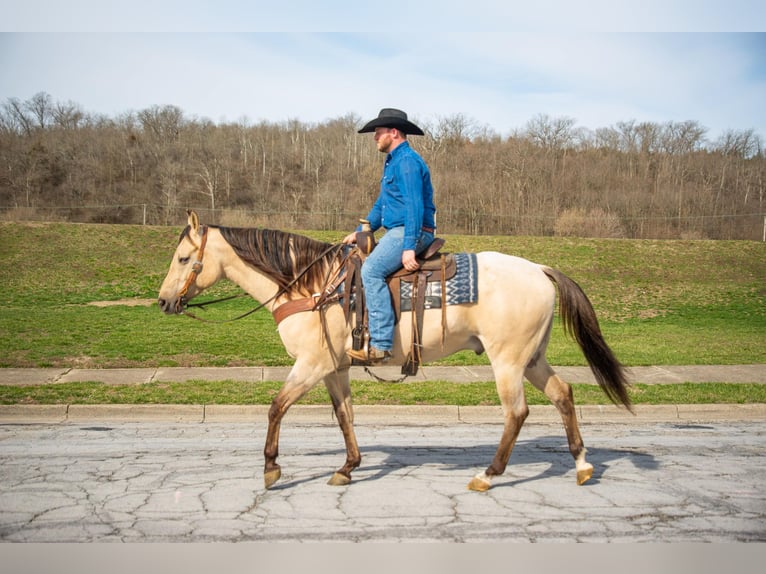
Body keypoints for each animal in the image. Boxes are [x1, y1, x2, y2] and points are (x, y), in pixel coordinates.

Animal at [159, 212, 632, 490]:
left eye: (183, 258)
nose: (164, 302)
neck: (312, 288)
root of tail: (539, 269)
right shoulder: (335, 368)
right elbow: (344, 416)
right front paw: (348, 467)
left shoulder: (311, 364)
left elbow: (276, 407)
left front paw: (271, 468)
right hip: (532, 358)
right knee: (563, 394)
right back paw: (582, 466)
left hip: (508, 361)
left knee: (516, 413)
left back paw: (487, 474)